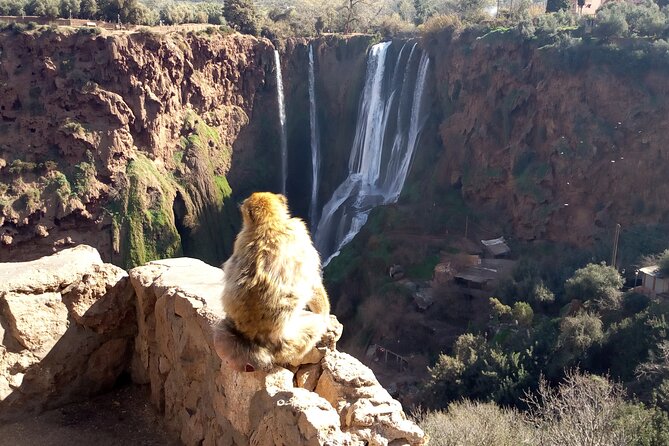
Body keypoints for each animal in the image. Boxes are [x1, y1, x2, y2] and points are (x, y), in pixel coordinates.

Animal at [213, 192, 330, 372]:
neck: (269, 223)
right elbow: (312, 280)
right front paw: (326, 313)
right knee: (315, 325)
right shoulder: (299, 231)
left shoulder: (240, 239)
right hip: (289, 341)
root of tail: (255, 340)